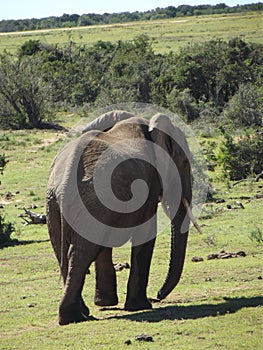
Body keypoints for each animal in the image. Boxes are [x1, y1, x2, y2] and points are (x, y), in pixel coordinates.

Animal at [46, 109, 197, 326]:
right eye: (185, 163)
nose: (159, 295)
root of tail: (65, 181)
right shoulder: (148, 182)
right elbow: (146, 233)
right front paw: (140, 306)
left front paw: (106, 303)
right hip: (88, 197)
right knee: (80, 253)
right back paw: (73, 317)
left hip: (58, 203)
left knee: (64, 251)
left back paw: (82, 313)